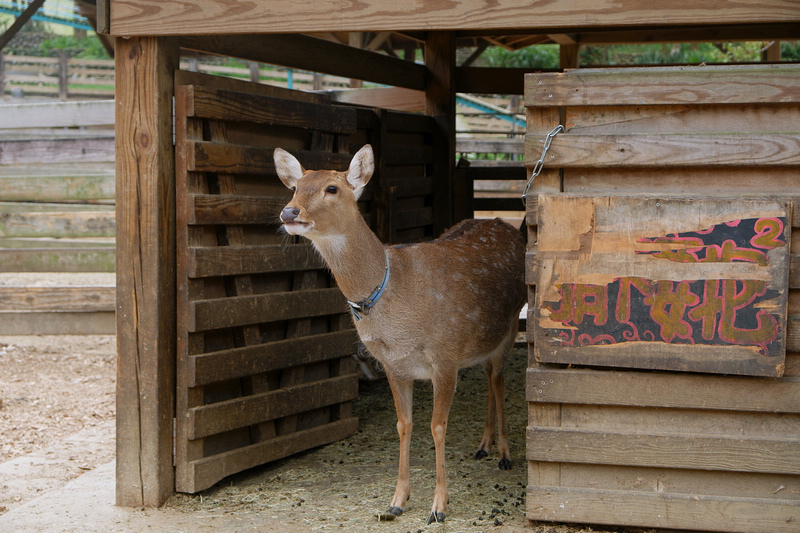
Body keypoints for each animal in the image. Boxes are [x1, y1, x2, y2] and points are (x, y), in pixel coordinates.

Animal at [272, 143, 528, 520]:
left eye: (332, 188)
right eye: (294, 187)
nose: (289, 212)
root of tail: (512, 228)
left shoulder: (445, 354)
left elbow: (437, 426)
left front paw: (439, 506)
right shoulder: (393, 365)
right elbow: (403, 425)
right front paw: (396, 501)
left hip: (509, 327)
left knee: (498, 380)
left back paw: (504, 454)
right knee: (488, 378)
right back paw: (484, 444)